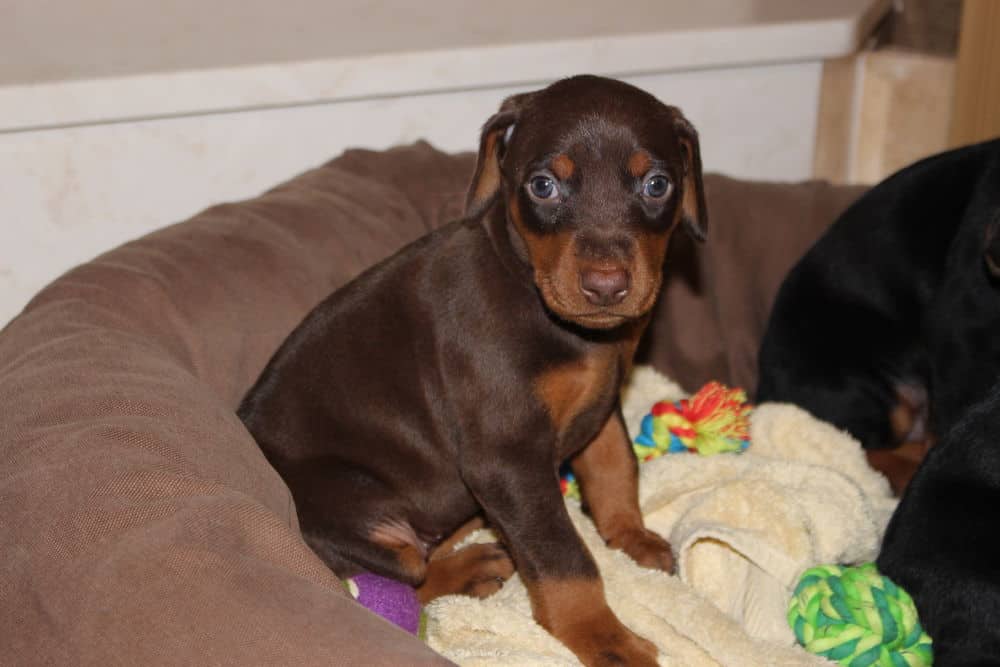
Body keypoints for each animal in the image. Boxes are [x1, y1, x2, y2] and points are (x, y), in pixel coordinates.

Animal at [238, 75, 708, 664]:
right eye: (543, 186)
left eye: (657, 184)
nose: (606, 286)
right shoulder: (506, 456)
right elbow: (562, 556)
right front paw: (603, 636)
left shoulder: (601, 402)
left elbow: (615, 468)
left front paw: (631, 538)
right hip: (349, 507)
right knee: (399, 572)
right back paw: (471, 565)